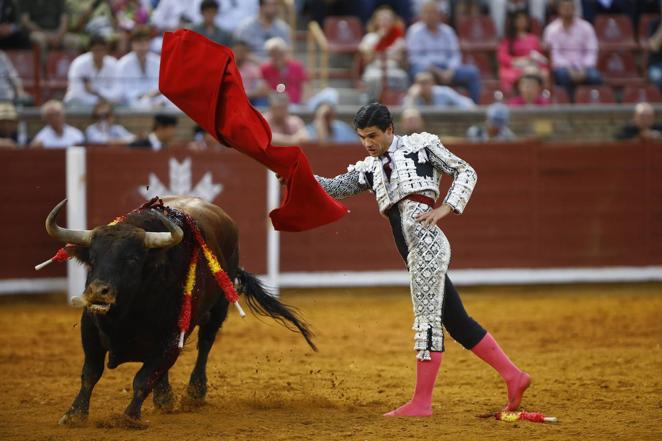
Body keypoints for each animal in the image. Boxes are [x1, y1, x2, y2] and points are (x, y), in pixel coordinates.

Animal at [46, 196, 316, 426]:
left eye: (133, 259)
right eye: (92, 258)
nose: (98, 291)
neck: (127, 312)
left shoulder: (173, 334)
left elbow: (143, 378)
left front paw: (130, 417)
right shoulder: (90, 328)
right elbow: (91, 373)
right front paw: (74, 415)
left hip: (218, 308)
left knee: (205, 344)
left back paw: (194, 392)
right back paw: (164, 397)